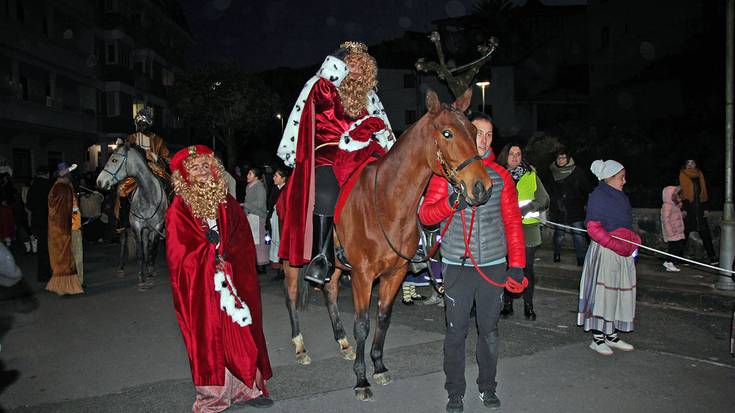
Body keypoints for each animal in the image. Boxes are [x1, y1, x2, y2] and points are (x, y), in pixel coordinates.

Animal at [96, 143, 167, 292]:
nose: (99, 182)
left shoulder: (157, 227)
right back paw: (121, 268)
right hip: (123, 223)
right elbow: (140, 252)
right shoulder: (136, 226)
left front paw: (150, 274)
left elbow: (152, 249)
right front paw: (141, 278)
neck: (148, 195)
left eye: (114, 160)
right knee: (123, 242)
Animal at [278, 87, 492, 400]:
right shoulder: (363, 276)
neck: (387, 200)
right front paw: (361, 379)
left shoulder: (395, 274)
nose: (482, 187)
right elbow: (363, 325)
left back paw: (342, 342)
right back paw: (300, 346)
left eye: (474, 131)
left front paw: (378, 367)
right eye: (448, 133)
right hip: (291, 259)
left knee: (330, 290)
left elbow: (383, 318)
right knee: (291, 297)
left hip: (337, 266)